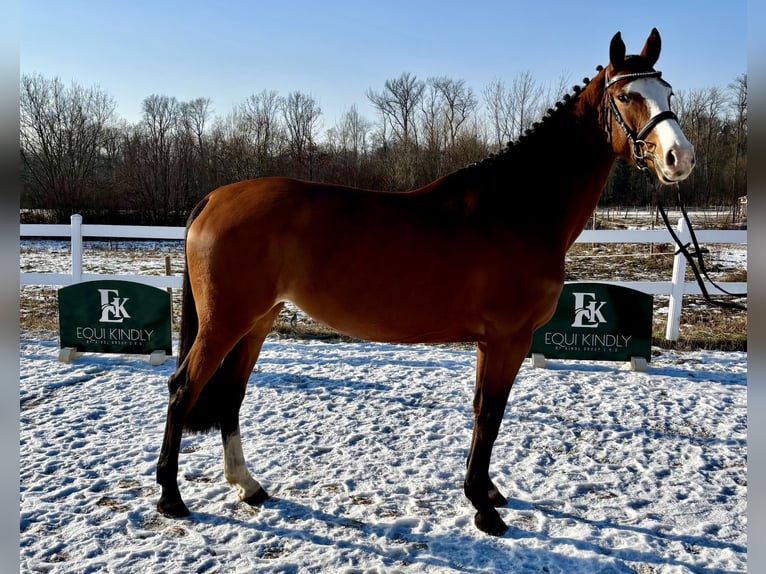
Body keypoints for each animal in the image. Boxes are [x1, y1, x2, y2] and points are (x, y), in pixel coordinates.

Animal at [156, 28, 695, 536]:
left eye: (668, 91)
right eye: (626, 96)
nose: (679, 158)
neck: (520, 206)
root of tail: (214, 198)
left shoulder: (490, 342)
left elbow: (481, 410)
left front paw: (486, 492)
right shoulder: (509, 338)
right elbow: (491, 414)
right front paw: (484, 509)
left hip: (258, 320)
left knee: (231, 394)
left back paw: (247, 486)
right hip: (225, 322)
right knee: (184, 388)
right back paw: (170, 498)